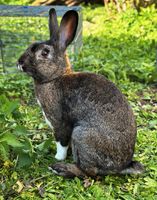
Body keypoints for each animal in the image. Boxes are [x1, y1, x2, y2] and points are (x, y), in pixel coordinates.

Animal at [16, 7, 144, 178]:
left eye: (44, 53)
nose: (19, 63)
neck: (55, 77)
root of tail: (122, 165)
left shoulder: (60, 123)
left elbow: (61, 142)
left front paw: (58, 157)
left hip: (81, 135)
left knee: (89, 171)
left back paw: (60, 168)